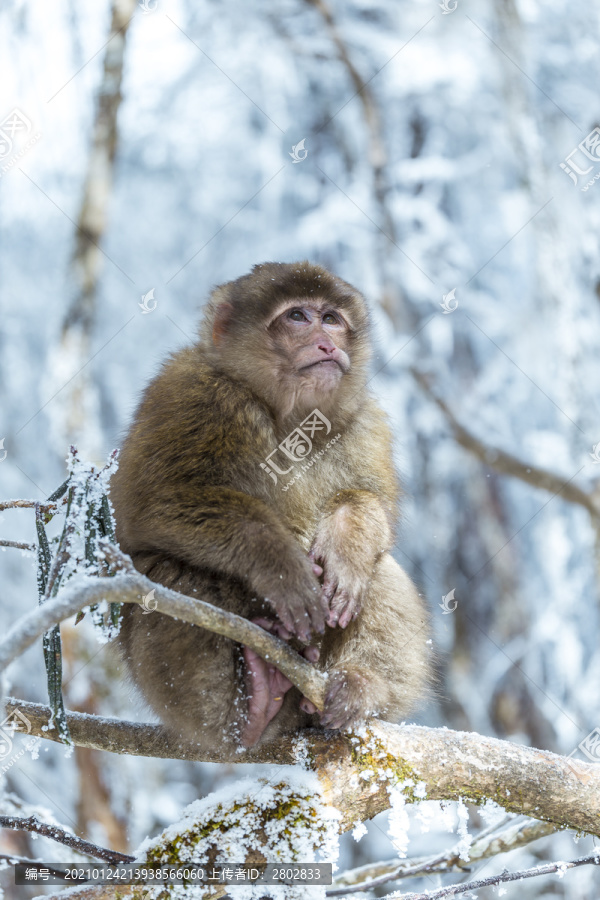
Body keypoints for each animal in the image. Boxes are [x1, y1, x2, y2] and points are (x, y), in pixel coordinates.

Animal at [111, 262, 432, 752]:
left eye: (331, 318)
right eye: (298, 316)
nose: (328, 344)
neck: (291, 417)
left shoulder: (366, 422)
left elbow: (372, 504)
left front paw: (346, 544)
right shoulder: (188, 391)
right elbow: (154, 502)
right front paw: (282, 568)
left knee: (379, 570)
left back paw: (360, 685)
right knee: (169, 574)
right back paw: (246, 709)